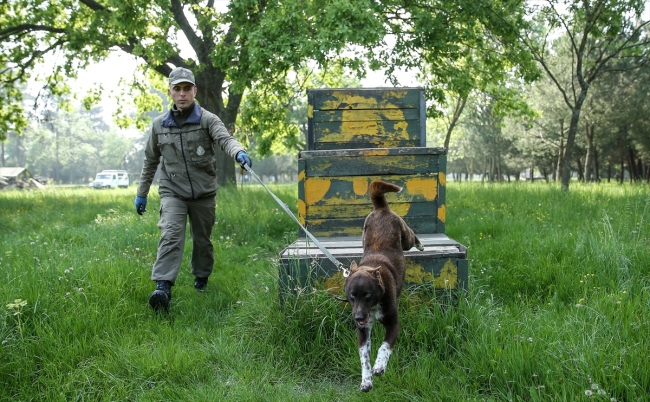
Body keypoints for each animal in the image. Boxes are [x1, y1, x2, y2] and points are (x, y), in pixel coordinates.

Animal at [342, 180, 422, 392]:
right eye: (352, 296)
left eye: (368, 294)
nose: (358, 317)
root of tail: (380, 208)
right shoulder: (362, 331)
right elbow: (364, 357)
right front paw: (366, 380)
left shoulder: (393, 324)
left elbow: (384, 347)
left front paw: (379, 366)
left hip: (405, 237)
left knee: (412, 236)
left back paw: (421, 245)